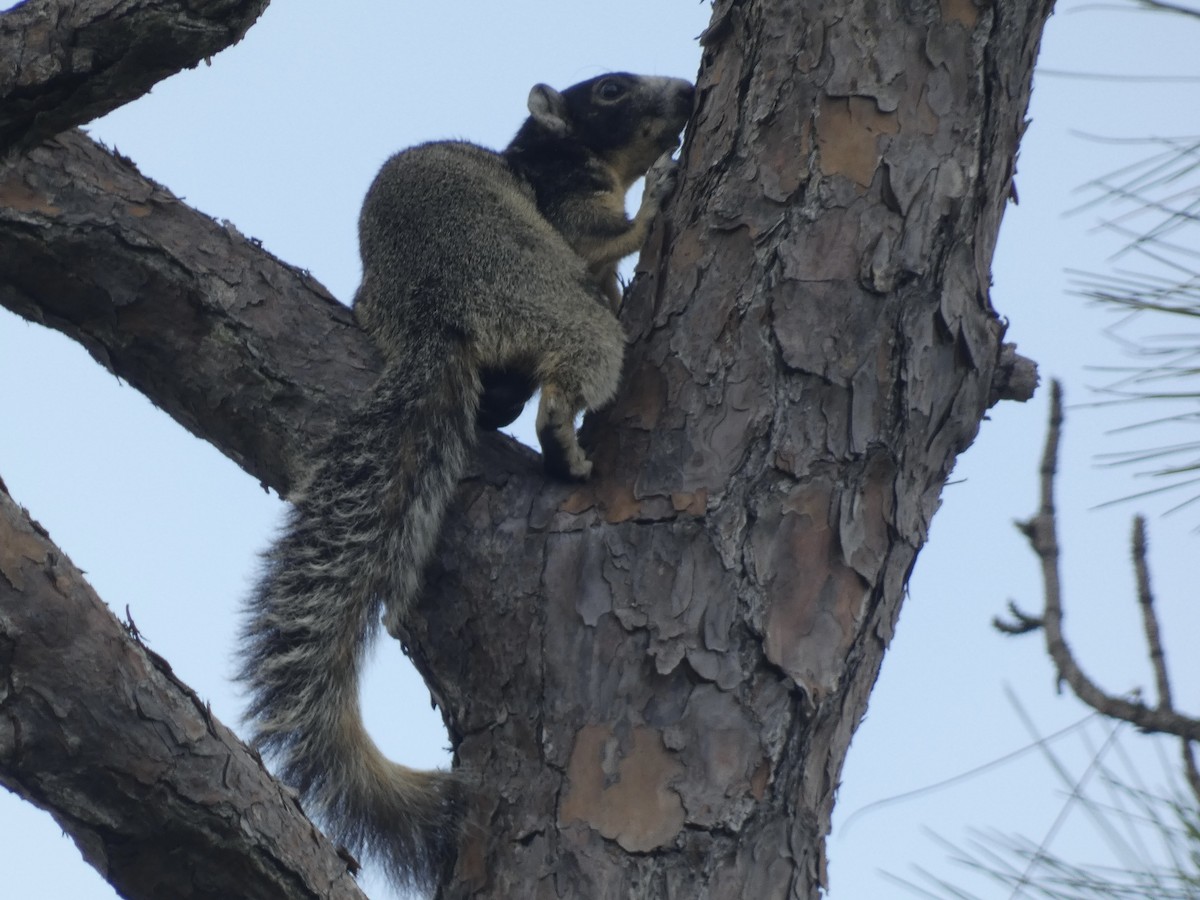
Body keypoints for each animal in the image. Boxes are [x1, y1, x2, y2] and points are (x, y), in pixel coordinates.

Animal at [239, 73, 693, 893]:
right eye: (611, 89)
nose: (688, 93)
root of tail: (432, 312)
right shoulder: (564, 201)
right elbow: (597, 240)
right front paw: (650, 209)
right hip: (534, 284)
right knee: (578, 336)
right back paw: (561, 438)